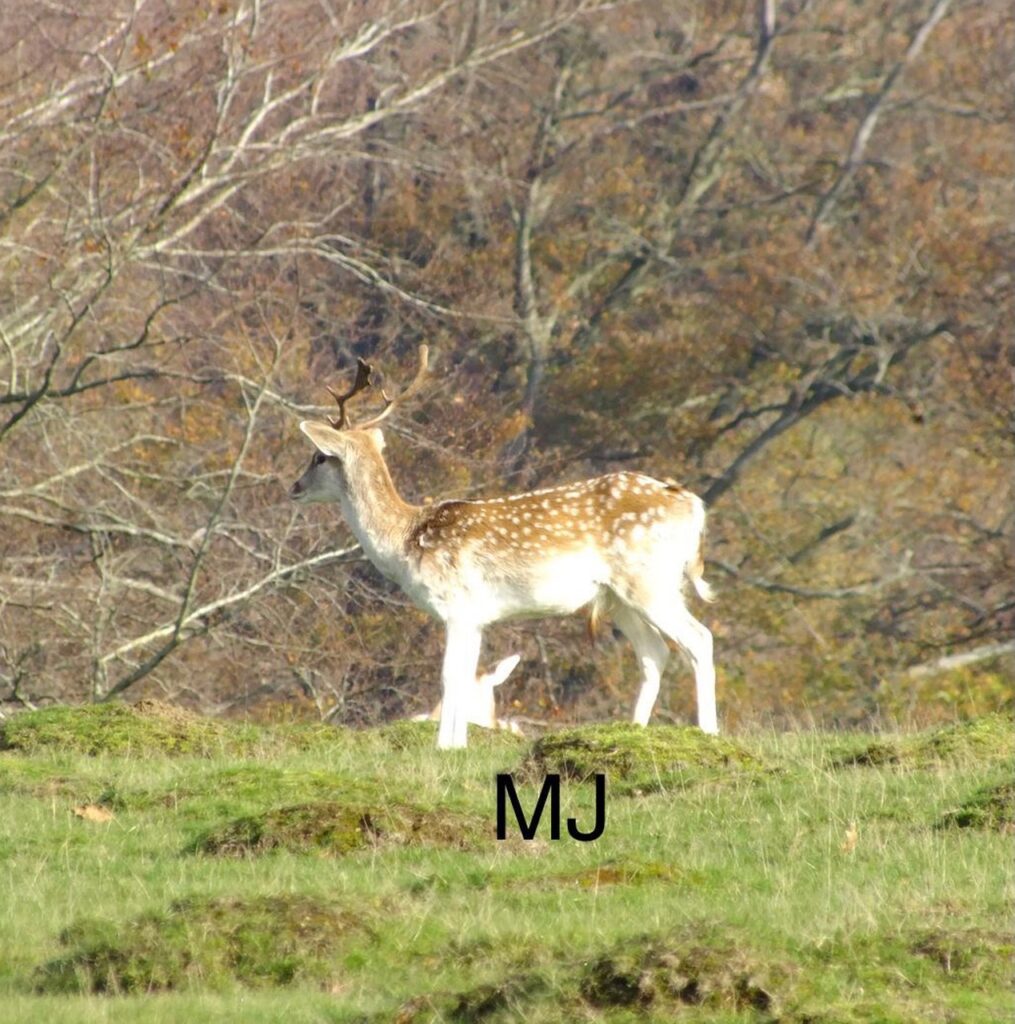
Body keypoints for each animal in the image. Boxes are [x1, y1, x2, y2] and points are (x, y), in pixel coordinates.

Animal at [289, 346, 717, 750]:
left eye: (319, 456)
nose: (294, 487)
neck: (406, 540)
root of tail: (694, 506)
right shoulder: (478, 616)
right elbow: (468, 676)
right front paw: (459, 745)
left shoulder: (457, 604)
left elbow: (450, 676)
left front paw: (443, 746)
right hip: (618, 598)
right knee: (655, 653)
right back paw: (632, 732)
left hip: (647, 581)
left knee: (699, 638)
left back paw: (709, 733)